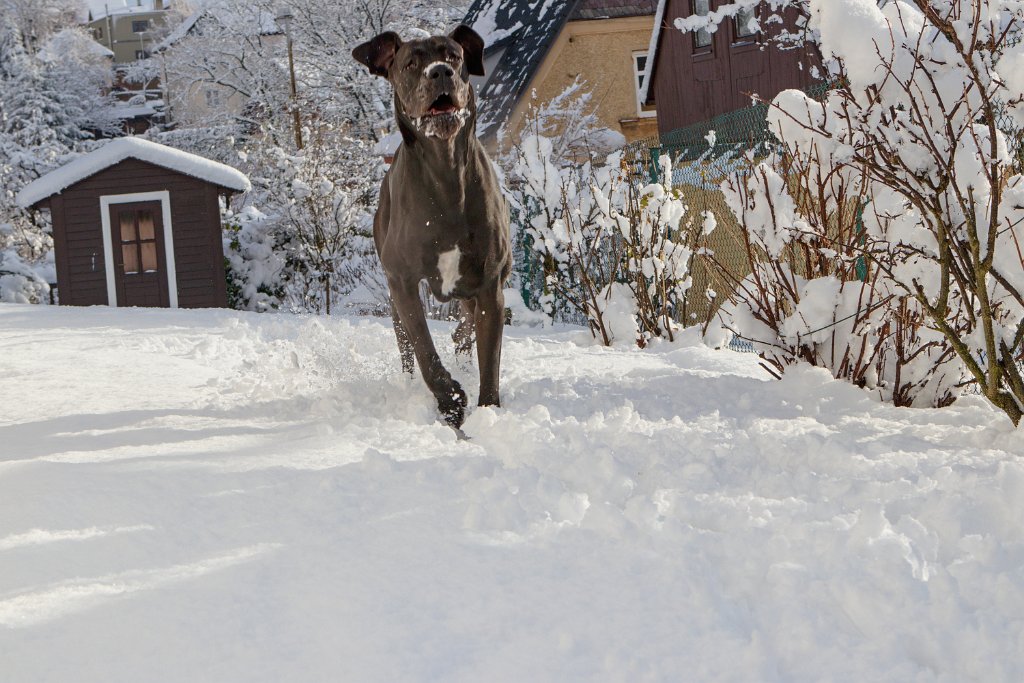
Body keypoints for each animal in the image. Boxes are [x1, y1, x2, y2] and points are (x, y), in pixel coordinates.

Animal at [352, 28, 512, 432]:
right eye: (411, 63)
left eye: (453, 55)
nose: (440, 72)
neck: (446, 173)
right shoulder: (403, 283)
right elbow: (425, 348)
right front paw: (451, 399)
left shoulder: (490, 284)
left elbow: (489, 359)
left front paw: (487, 413)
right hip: (395, 301)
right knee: (408, 348)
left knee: (464, 328)